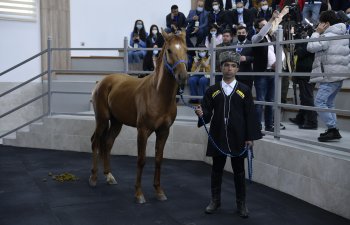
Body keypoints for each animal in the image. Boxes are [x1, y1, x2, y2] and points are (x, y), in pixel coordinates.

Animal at [90, 29, 189, 204]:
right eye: (169, 50)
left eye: (186, 50)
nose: (182, 76)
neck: (158, 94)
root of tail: (102, 81)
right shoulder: (143, 131)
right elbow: (141, 160)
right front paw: (139, 194)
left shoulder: (164, 131)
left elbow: (158, 159)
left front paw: (159, 191)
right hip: (102, 120)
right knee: (96, 143)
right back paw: (94, 178)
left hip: (116, 122)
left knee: (107, 143)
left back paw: (109, 176)